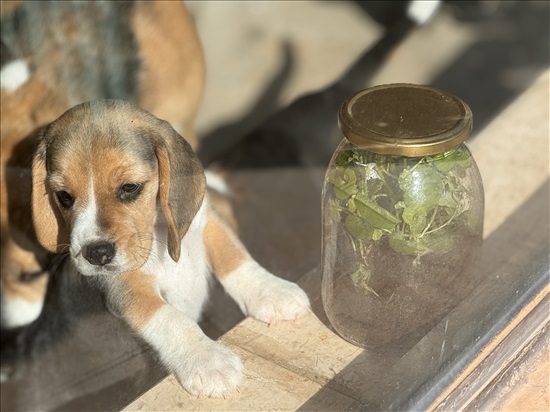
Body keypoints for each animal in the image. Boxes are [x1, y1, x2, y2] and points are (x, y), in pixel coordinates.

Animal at [32, 99, 312, 396]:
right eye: (64, 196)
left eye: (129, 188)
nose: (96, 254)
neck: (157, 233)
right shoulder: (129, 288)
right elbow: (169, 318)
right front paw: (207, 359)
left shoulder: (206, 222)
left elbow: (234, 256)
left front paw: (271, 290)